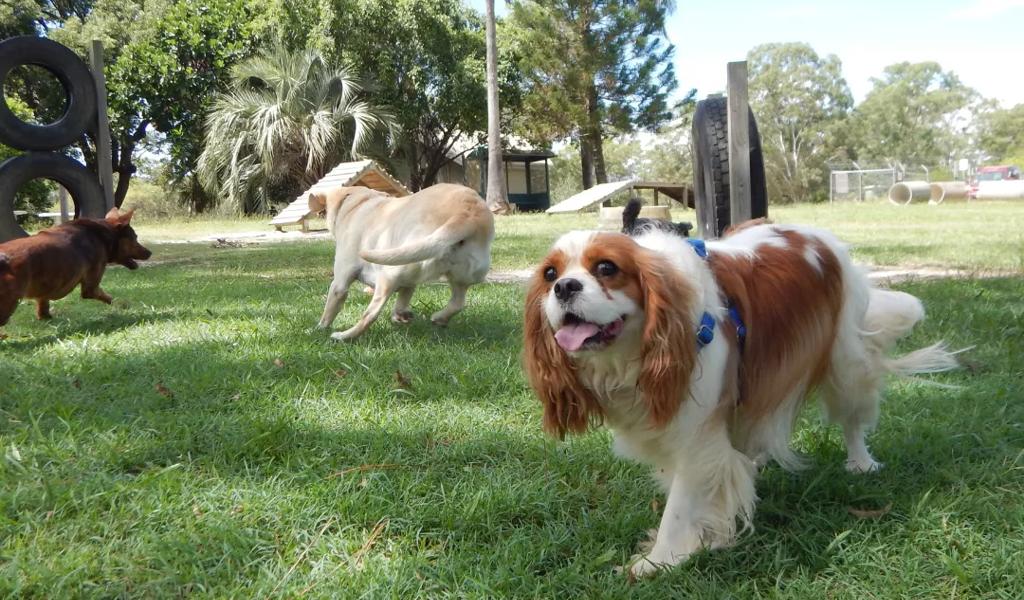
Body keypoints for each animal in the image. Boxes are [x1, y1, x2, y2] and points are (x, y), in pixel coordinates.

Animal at [0, 207, 151, 325]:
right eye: (135, 237)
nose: (149, 252)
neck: (102, 234)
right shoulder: (91, 287)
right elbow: (106, 296)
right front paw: (120, 304)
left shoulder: (46, 287)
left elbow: (43, 304)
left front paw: (46, 317)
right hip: (9, 302)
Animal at [309, 182, 493, 341]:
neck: (356, 203)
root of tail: (466, 214)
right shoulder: (409, 283)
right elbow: (403, 298)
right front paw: (401, 316)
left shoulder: (340, 282)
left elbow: (330, 307)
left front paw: (318, 328)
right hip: (460, 275)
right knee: (458, 302)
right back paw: (438, 318)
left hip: (389, 273)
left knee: (370, 315)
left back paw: (343, 336)